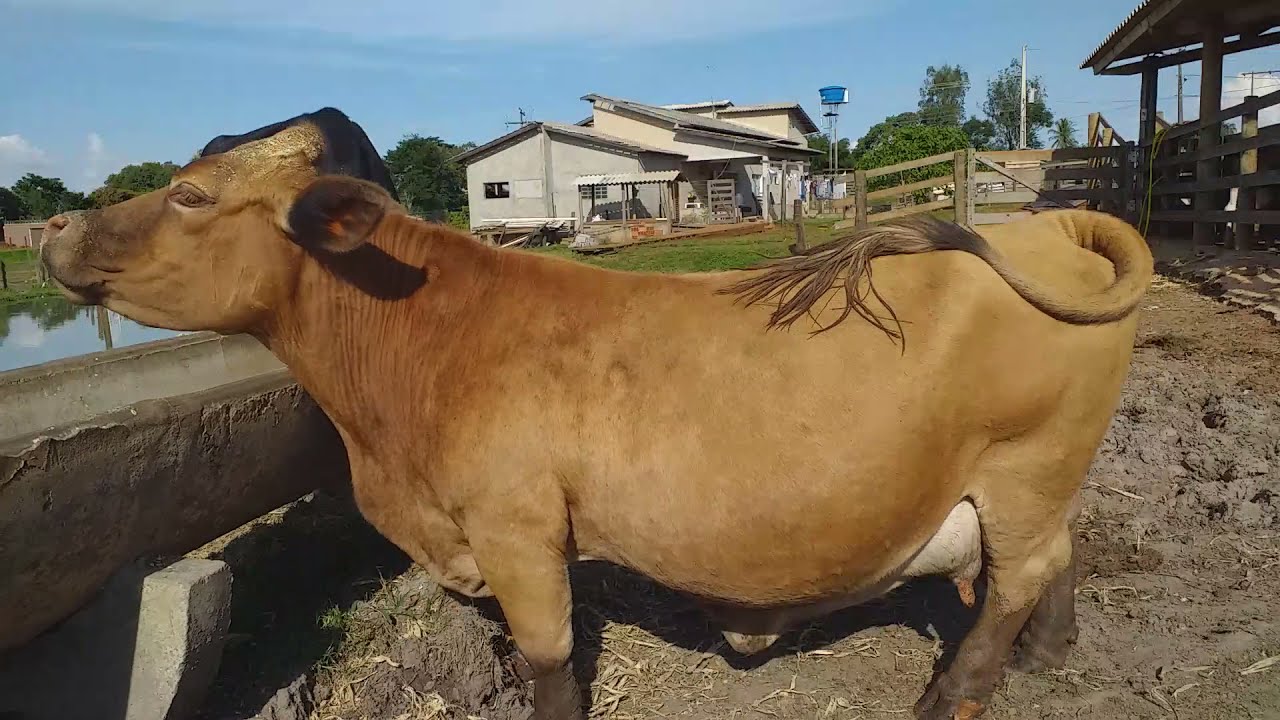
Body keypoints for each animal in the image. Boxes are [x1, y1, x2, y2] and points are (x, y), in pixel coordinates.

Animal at [39, 110, 1153, 720]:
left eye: (188, 195)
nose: (51, 228)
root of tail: (1054, 226)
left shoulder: (518, 529)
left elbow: (547, 655)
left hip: (1023, 467)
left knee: (1013, 580)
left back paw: (951, 691)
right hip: (1039, 482)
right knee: (1054, 558)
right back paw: (1048, 653)